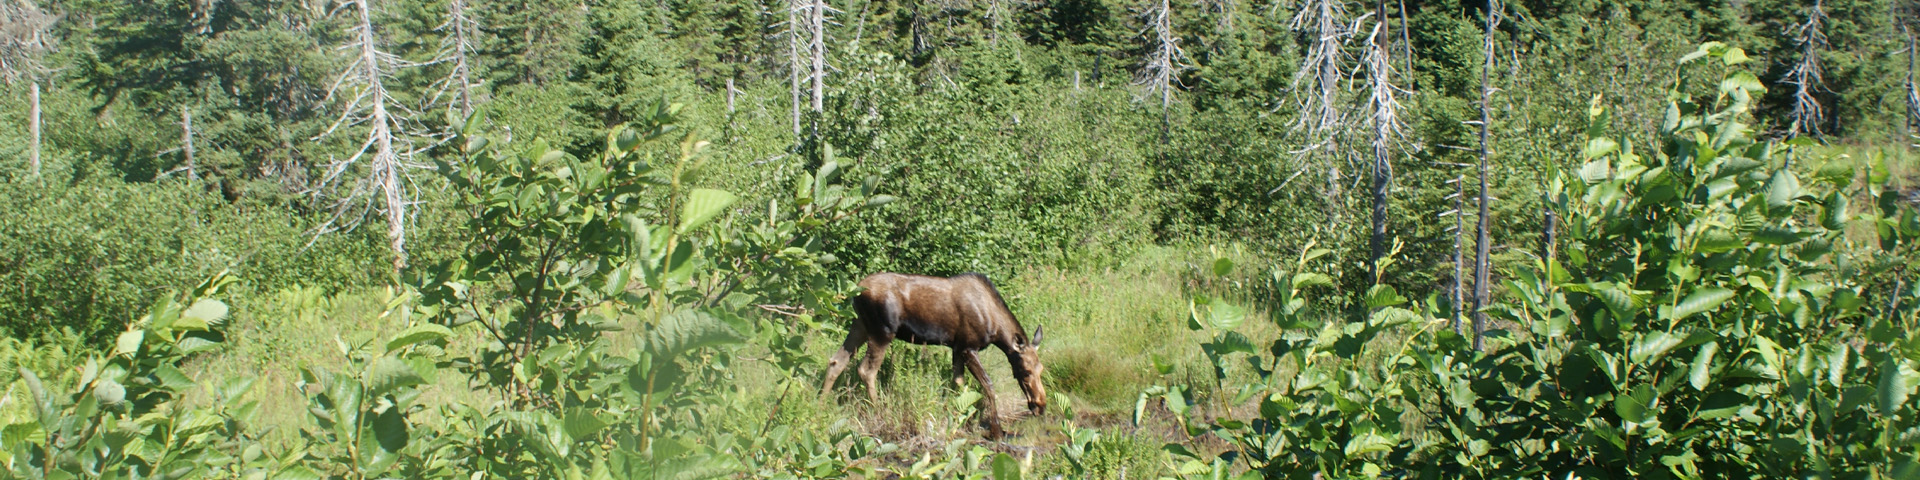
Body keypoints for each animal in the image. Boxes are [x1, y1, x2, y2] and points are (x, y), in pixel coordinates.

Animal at [814, 272, 1044, 437]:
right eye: (1025, 371)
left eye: (1041, 368)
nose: (1041, 405)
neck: (996, 329)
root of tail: (856, 292)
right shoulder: (969, 347)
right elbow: (988, 385)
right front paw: (997, 430)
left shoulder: (957, 348)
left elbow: (958, 383)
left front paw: (956, 417)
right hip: (882, 331)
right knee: (866, 370)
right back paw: (879, 411)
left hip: (860, 325)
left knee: (836, 361)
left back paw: (820, 406)